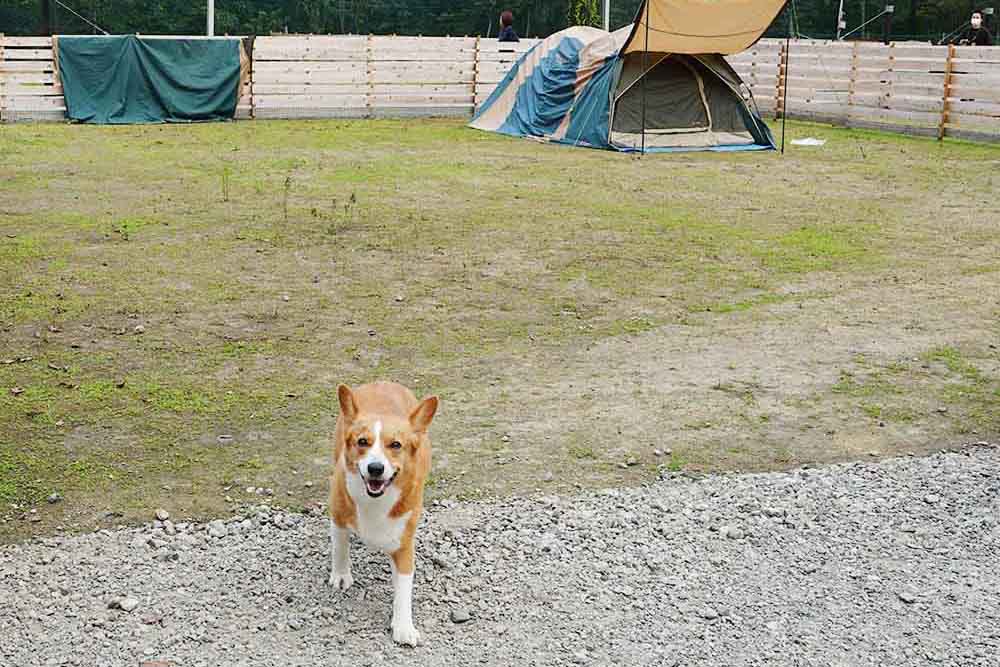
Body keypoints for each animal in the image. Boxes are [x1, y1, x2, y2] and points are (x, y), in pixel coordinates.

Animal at [328, 380, 438, 648]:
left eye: (396, 445)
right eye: (362, 442)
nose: (375, 468)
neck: (374, 500)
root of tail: (383, 381)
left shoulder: (405, 544)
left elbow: (404, 589)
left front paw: (404, 627)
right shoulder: (337, 514)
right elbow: (340, 547)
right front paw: (341, 575)